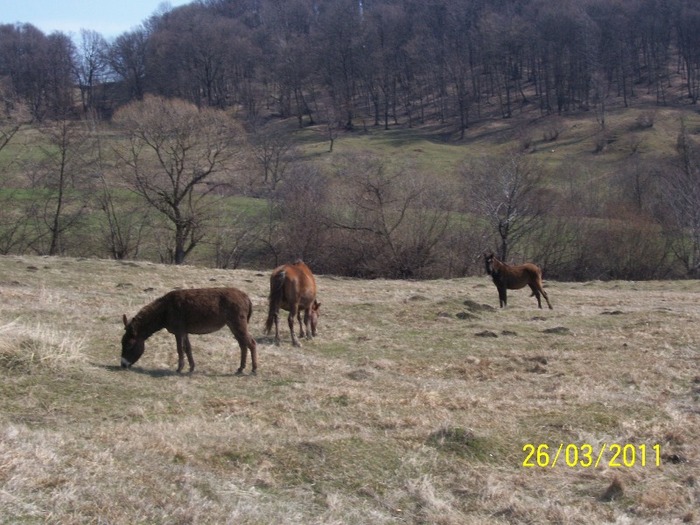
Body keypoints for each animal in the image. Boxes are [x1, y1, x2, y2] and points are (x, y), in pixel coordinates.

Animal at [121, 288, 258, 374]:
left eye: (129, 344)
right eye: (121, 342)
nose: (122, 365)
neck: (164, 312)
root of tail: (246, 297)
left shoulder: (178, 331)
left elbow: (180, 349)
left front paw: (179, 369)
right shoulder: (184, 331)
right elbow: (188, 348)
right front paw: (191, 368)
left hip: (238, 323)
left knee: (251, 343)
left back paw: (254, 370)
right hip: (233, 325)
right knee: (243, 344)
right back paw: (240, 368)